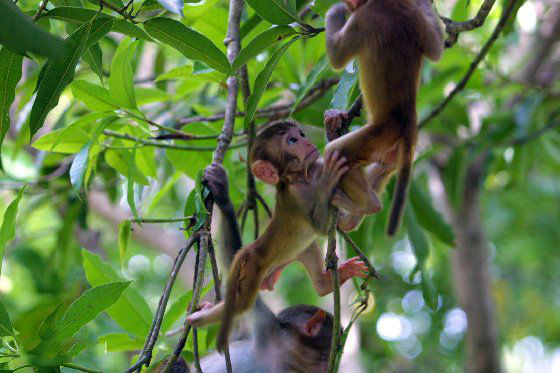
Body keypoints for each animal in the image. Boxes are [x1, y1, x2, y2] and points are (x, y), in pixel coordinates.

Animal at [324, 0, 442, 234]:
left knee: (337, 152)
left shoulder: (363, 19)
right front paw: (424, 3)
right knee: (385, 166)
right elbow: (436, 50)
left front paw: (336, 10)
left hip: (379, 135)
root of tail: (408, 124)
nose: (349, 6)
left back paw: (368, 204)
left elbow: (337, 56)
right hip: (392, 149)